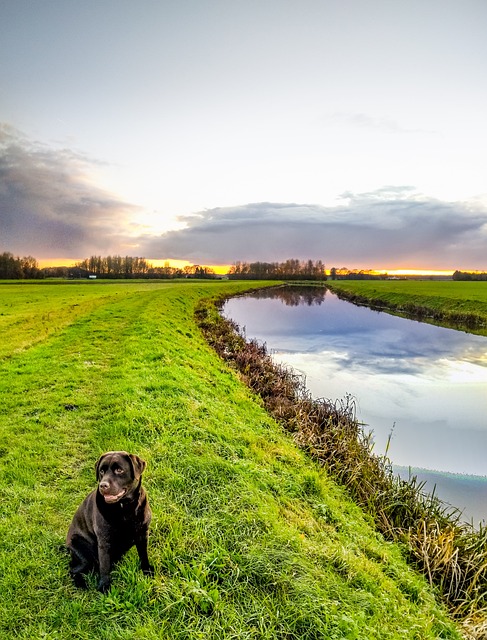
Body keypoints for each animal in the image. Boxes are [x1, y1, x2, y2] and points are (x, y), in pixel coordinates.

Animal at [65, 452, 152, 592]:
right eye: (101, 471)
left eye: (119, 470)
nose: (103, 485)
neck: (124, 508)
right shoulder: (104, 541)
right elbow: (104, 566)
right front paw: (104, 587)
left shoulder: (143, 534)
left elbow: (143, 555)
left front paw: (147, 571)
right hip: (83, 553)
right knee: (73, 570)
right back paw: (81, 584)